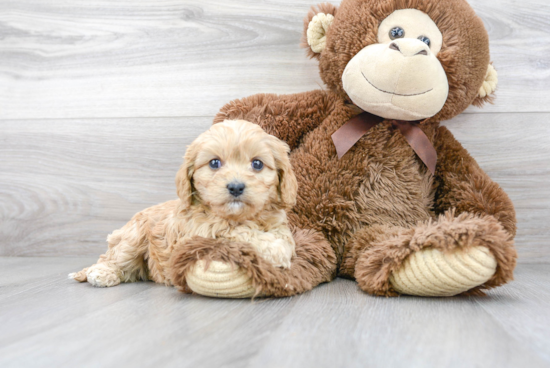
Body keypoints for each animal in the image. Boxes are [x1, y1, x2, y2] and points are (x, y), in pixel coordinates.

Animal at [72, 121, 302, 296]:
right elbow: (237, 231)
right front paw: (275, 250)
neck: (237, 216)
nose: (236, 187)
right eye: (214, 163)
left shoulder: (278, 223)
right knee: (113, 258)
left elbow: (285, 237)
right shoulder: (201, 231)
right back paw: (102, 273)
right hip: (133, 238)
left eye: (257, 164)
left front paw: (280, 246)